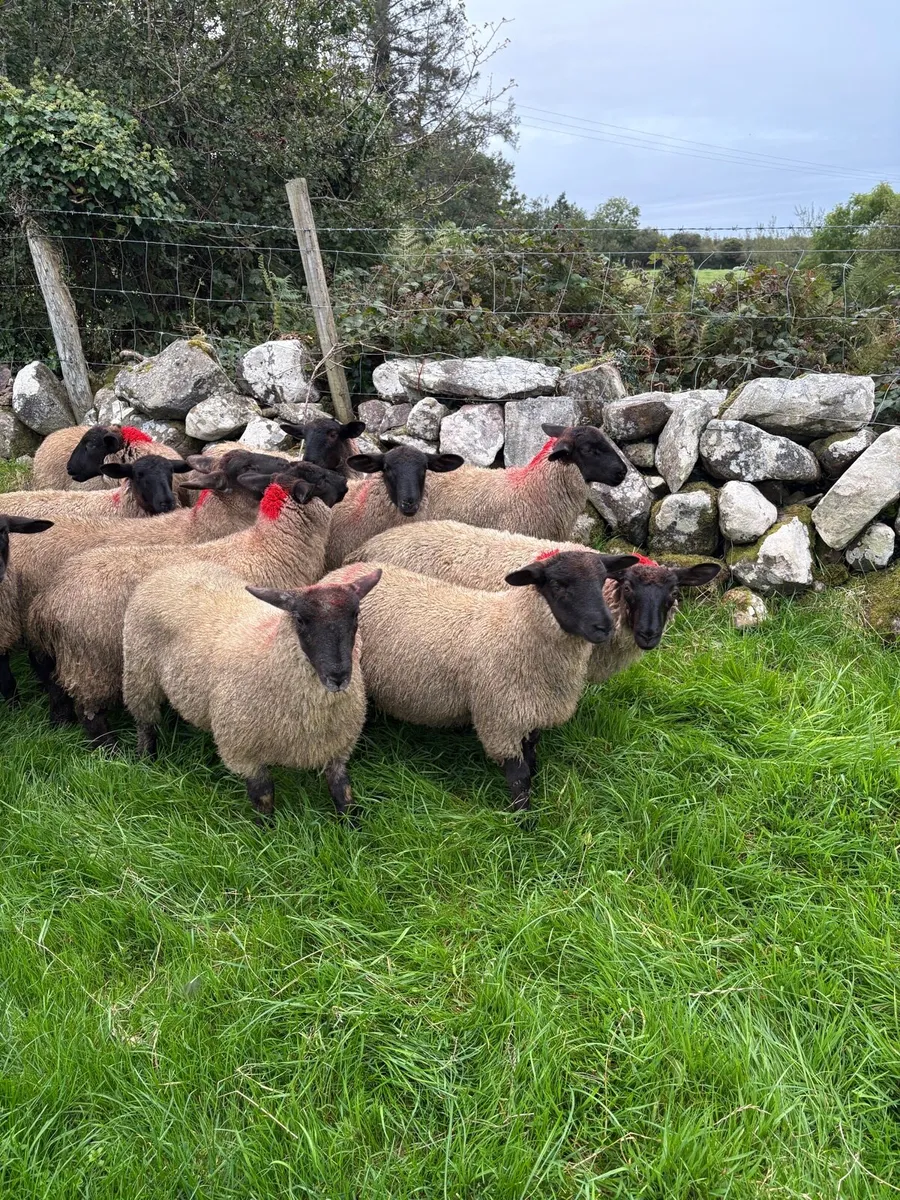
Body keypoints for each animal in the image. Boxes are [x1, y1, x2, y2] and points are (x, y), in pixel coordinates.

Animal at [28, 469, 347, 746]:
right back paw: (109, 748)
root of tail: (49, 598)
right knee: (90, 710)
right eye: (318, 477)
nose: (344, 482)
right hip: (91, 660)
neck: (271, 548)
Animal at [122, 562, 382, 821]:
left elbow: (343, 793)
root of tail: (174, 566)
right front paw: (267, 830)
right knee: (145, 722)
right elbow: (264, 797)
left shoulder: (337, 747)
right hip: (139, 674)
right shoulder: (244, 752)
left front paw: (352, 825)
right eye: (300, 619)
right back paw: (146, 760)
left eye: (355, 615)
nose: (338, 676)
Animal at [322, 551, 638, 813]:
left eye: (602, 580)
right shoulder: (501, 719)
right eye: (559, 585)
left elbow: (532, 756)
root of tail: (341, 573)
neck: (517, 627)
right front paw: (525, 821)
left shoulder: (530, 711)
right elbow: (519, 778)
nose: (604, 627)